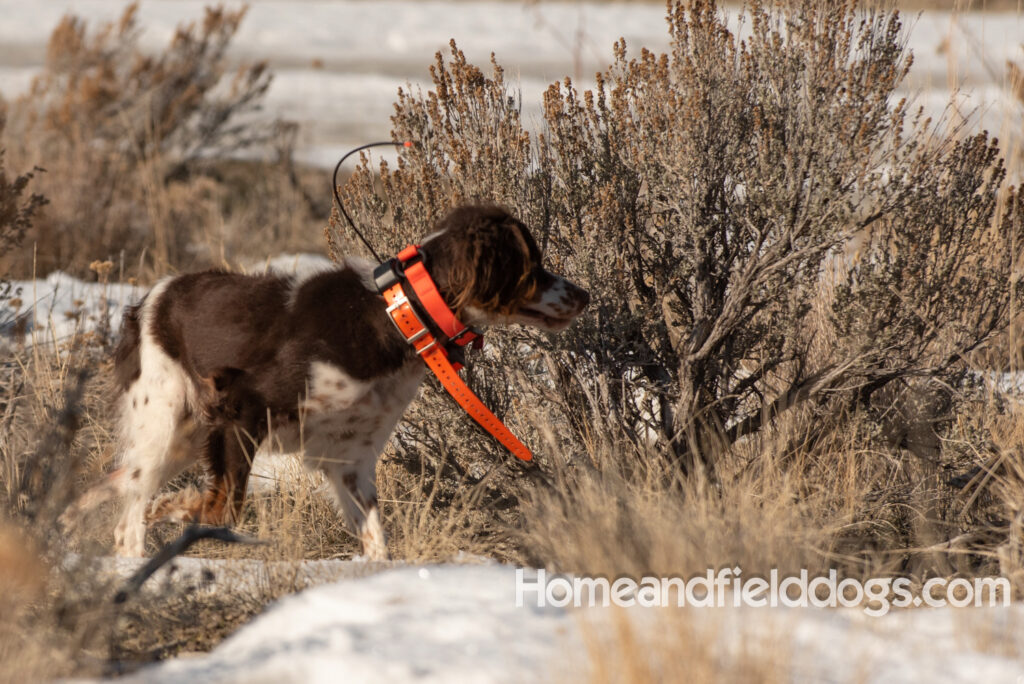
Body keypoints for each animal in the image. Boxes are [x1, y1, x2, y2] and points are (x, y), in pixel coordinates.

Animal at [68, 205, 589, 557]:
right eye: (531, 266)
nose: (584, 294)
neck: (396, 317)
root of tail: (149, 299)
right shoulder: (243, 405)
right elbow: (224, 506)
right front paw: (176, 509)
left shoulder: (350, 458)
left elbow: (376, 539)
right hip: (164, 422)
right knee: (131, 510)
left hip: (186, 435)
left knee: (117, 486)